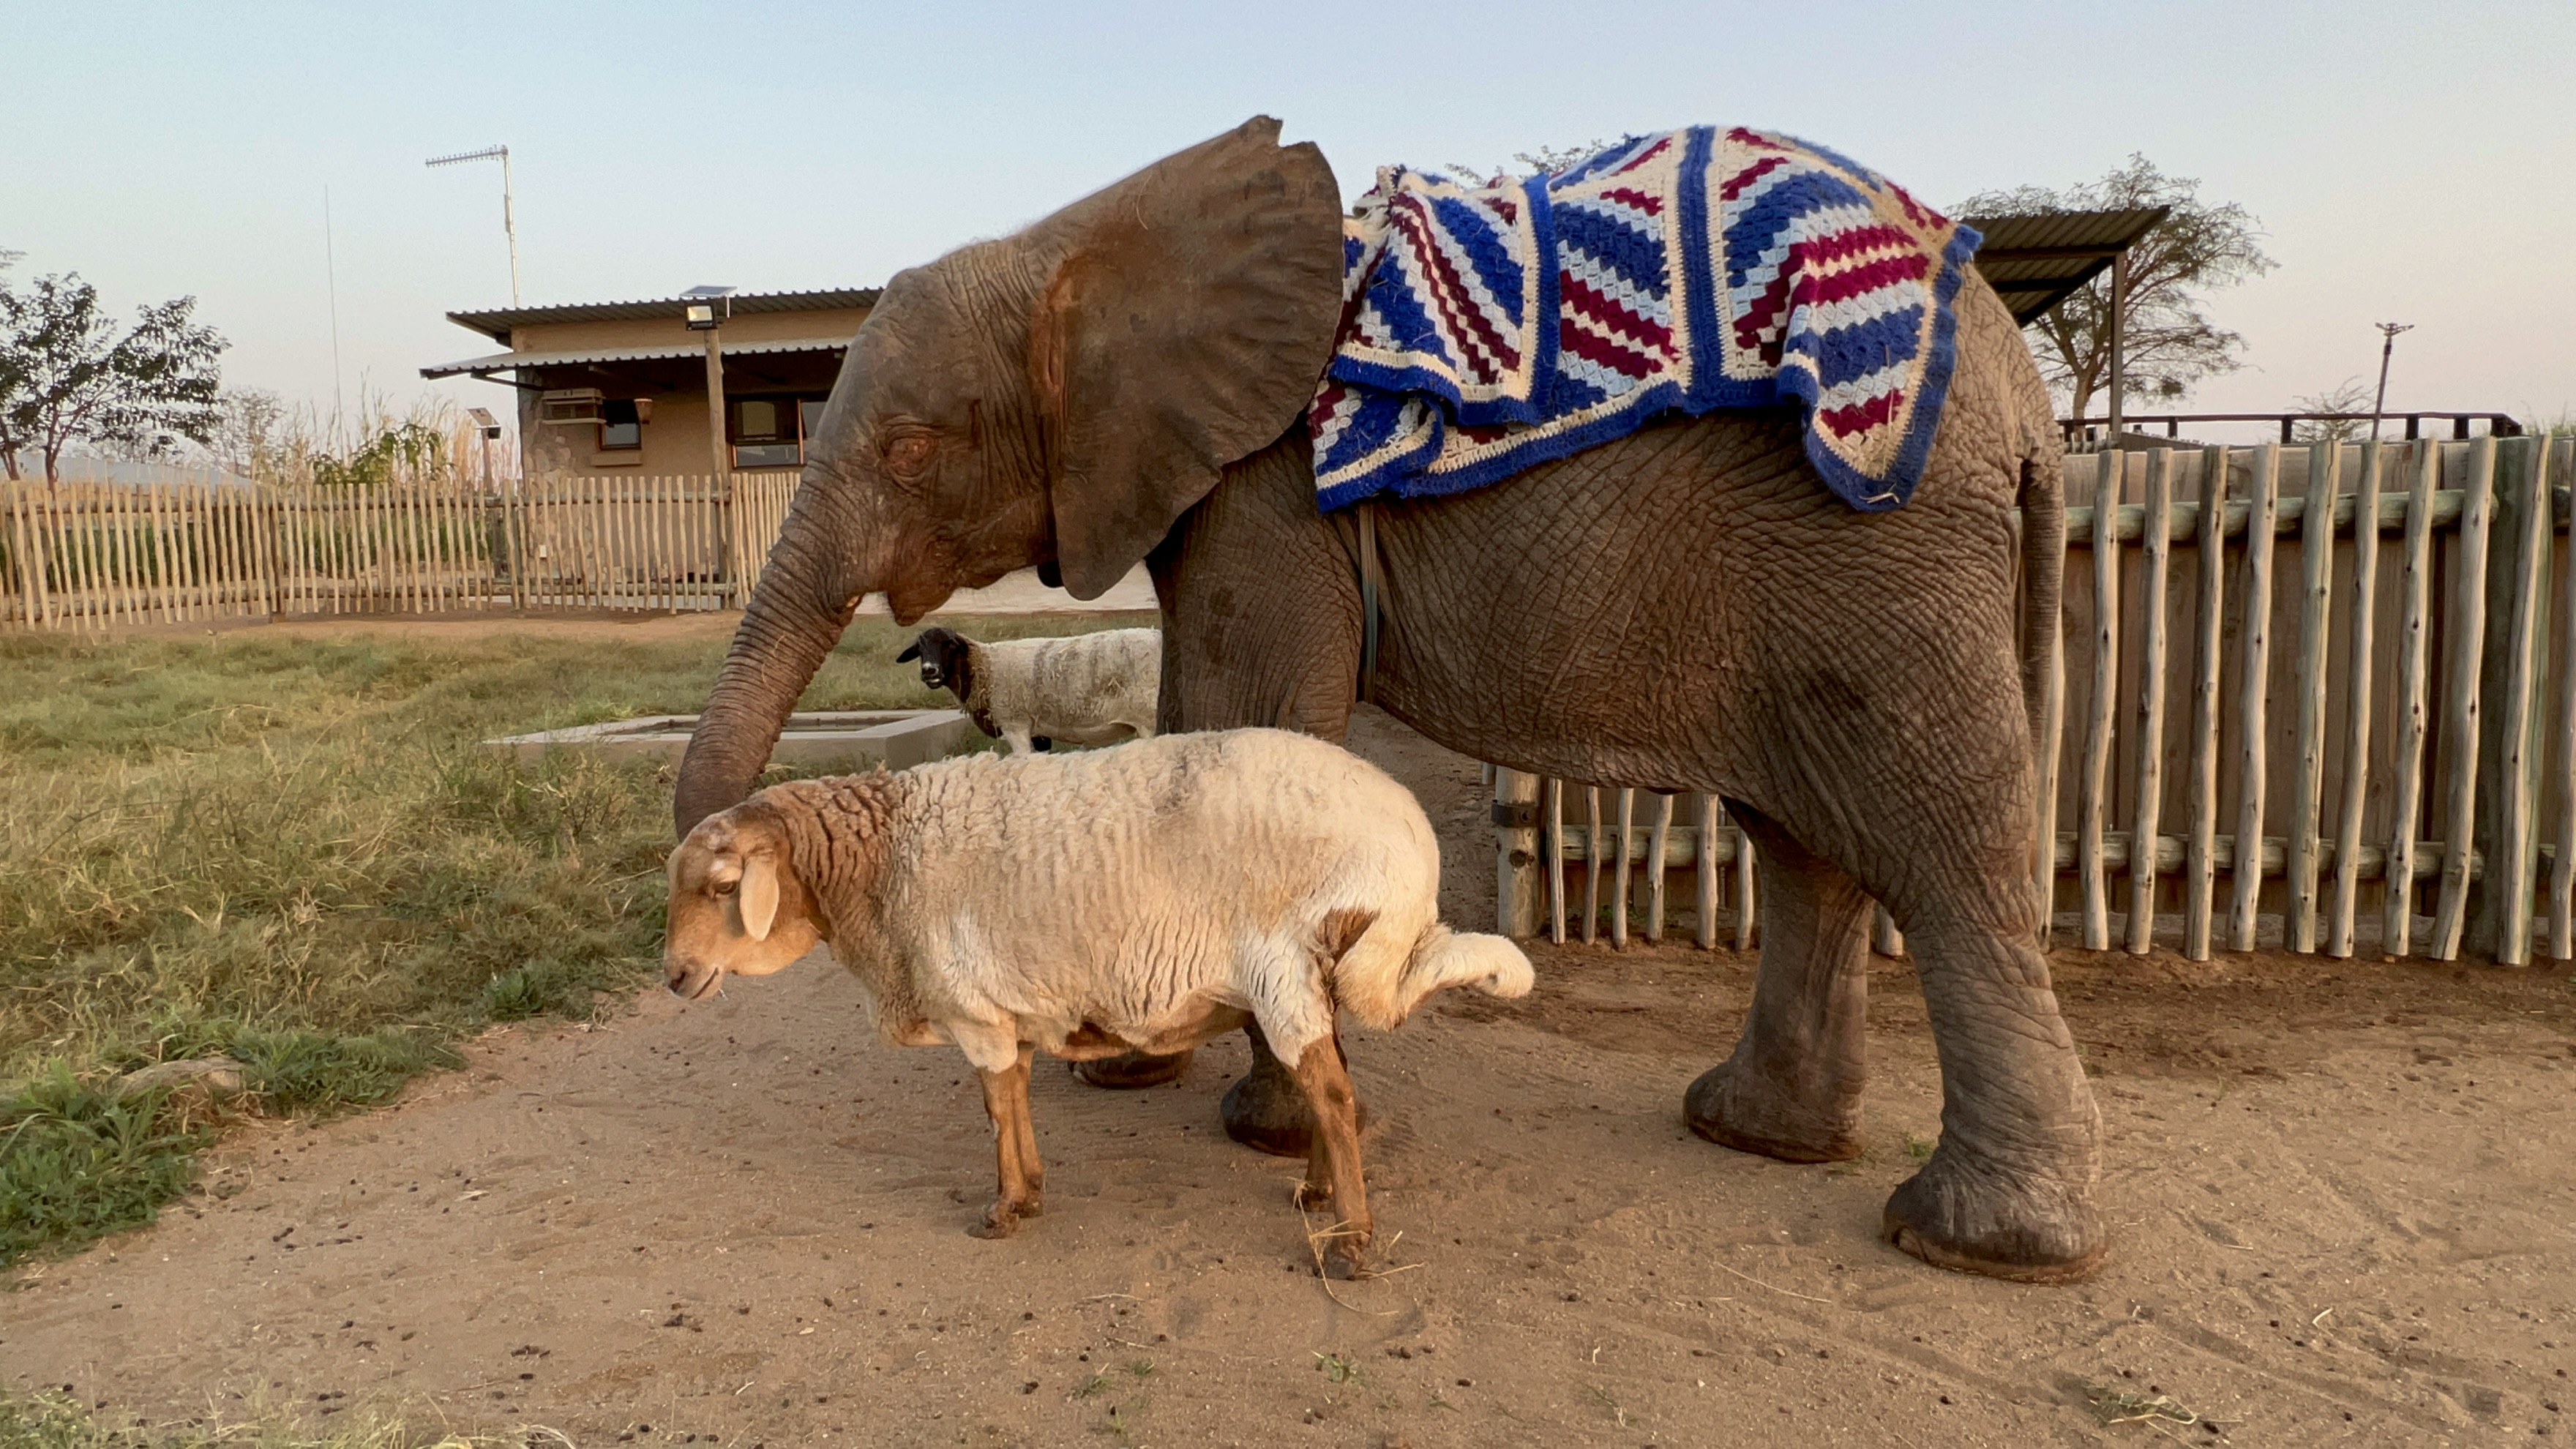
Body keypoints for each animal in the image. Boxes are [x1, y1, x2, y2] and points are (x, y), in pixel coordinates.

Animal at [664, 727, 1524, 1268]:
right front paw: (1030, 1194)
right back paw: (1318, 1195)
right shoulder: (1002, 1012)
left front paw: (1004, 1210)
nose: (673, 975)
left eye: (724, 887)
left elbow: (996, 1106)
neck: (878, 867)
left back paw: (1351, 1242)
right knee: (1333, 1082)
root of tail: (1411, 851)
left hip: (1286, 967)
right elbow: (1011, 1099)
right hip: (1310, 976)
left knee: (1337, 1097)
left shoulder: (973, 1010)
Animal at [896, 624, 1159, 757]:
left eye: (950, 644)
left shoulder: (1015, 724)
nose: (929, 671)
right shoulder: (1039, 732)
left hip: (1148, 718)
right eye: (920, 648)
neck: (984, 665)